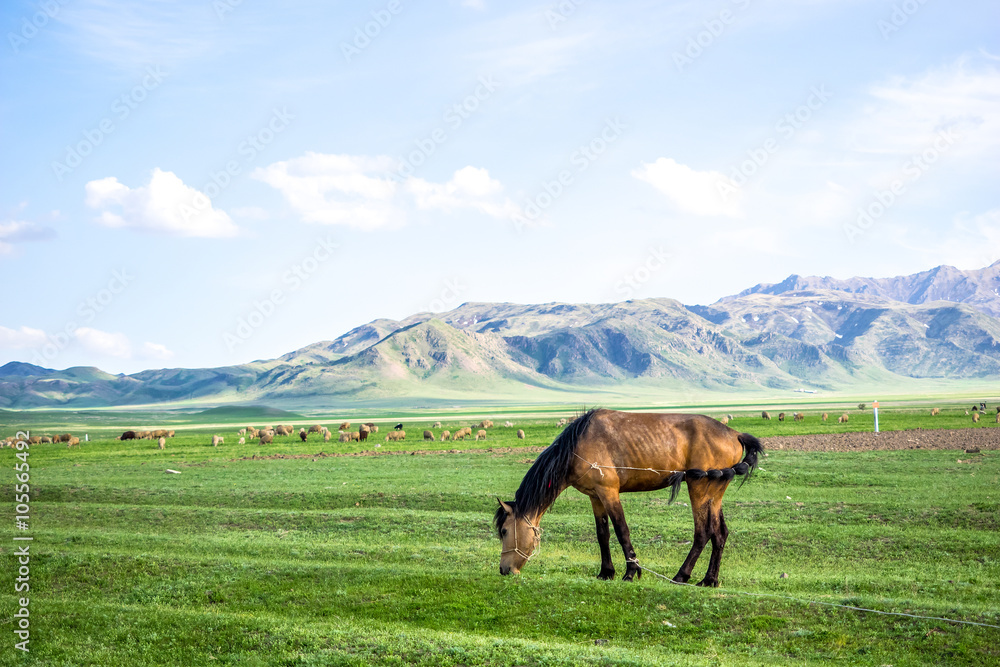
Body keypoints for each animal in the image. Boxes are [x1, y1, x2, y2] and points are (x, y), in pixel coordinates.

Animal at [496, 410, 760, 588]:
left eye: (504, 531)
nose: (504, 570)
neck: (576, 447)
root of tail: (735, 434)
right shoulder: (596, 497)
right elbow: (602, 535)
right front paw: (606, 572)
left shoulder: (609, 492)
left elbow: (622, 531)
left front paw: (631, 572)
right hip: (715, 492)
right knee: (719, 533)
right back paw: (709, 579)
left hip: (699, 488)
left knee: (703, 532)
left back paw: (681, 575)